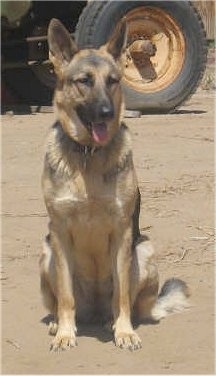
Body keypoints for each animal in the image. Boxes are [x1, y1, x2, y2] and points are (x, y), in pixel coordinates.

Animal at [39, 19, 189, 352]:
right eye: (84, 81)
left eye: (113, 81)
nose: (107, 113)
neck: (89, 156)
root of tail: (94, 311)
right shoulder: (59, 232)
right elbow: (65, 295)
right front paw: (65, 333)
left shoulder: (121, 231)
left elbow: (121, 294)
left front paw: (124, 331)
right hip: (47, 252)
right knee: (63, 302)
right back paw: (59, 323)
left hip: (144, 249)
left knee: (134, 305)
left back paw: (117, 321)